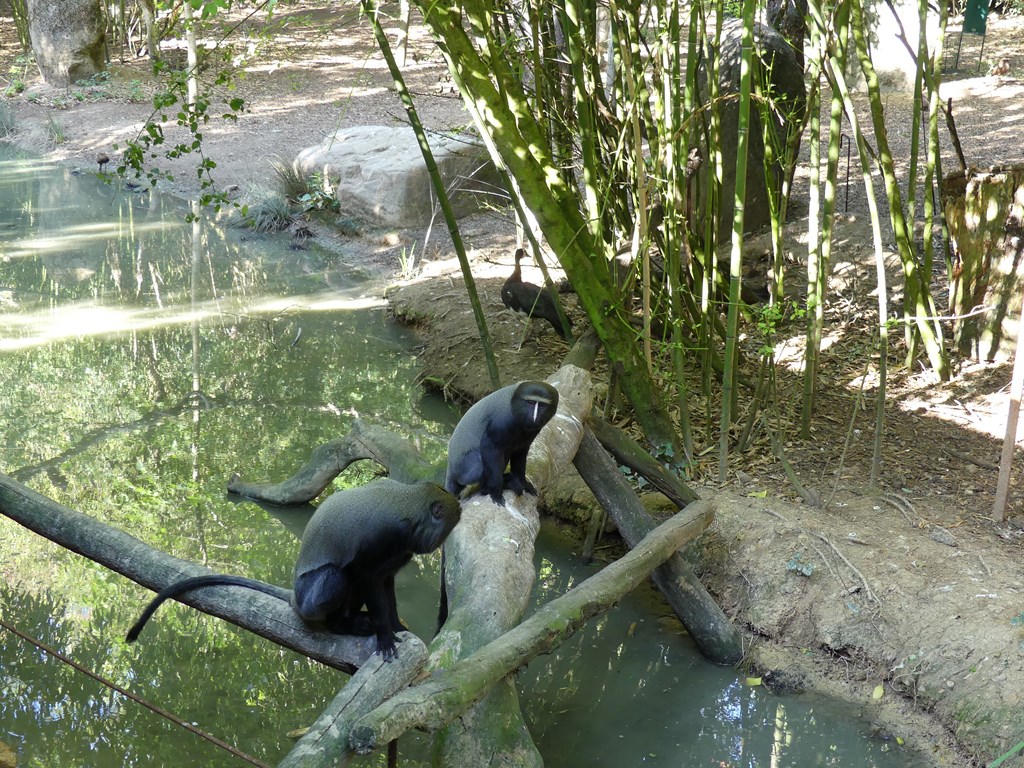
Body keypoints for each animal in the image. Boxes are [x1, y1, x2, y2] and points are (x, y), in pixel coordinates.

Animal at [125, 479, 461, 661]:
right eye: (446, 527)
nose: (439, 544)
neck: (412, 507)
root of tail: (296, 599)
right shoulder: (386, 537)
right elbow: (365, 574)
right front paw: (385, 634)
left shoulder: (397, 556)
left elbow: (386, 582)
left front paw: (397, 626)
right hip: (312, 596)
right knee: (339, 575)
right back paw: (343, 625)